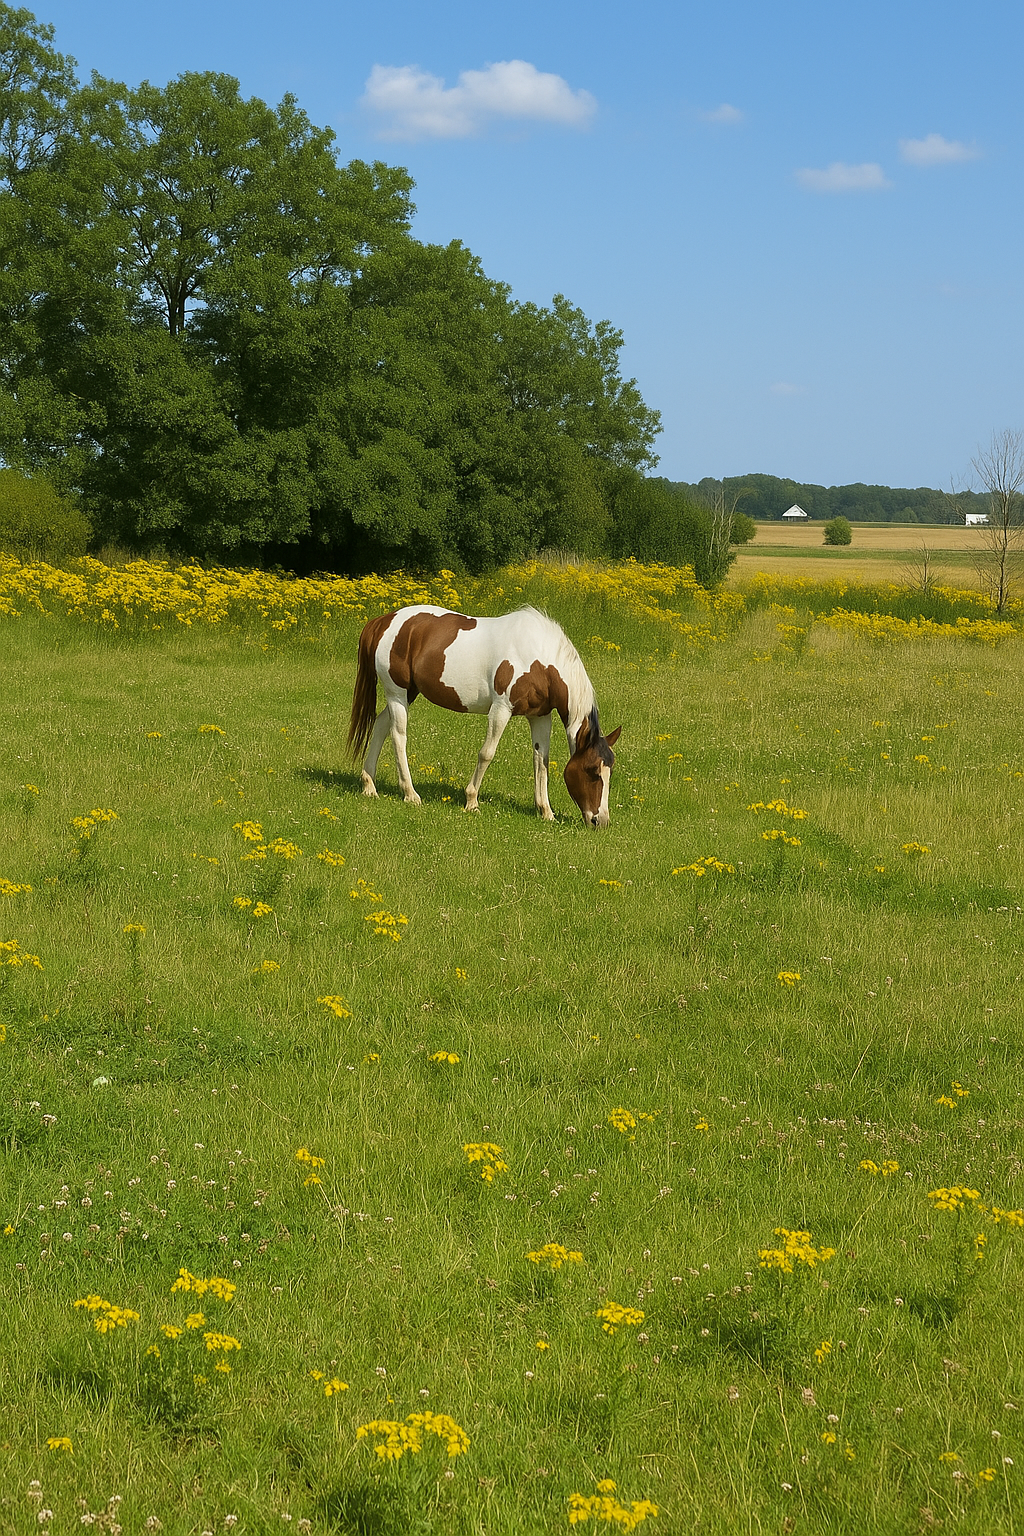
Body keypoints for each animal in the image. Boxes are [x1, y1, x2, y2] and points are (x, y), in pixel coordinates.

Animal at [347, 605, 621, 827]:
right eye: (592, 770)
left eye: (610, 770)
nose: (600, 821)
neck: (541, 661)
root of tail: (385, 621)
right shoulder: (501, 709)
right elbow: (487, 753)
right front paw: (471, 801)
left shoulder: (540, 716)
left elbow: (541, 761)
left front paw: (546, 812)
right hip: (397, 693)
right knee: (398, 736)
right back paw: (410, 793)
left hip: (408, 693)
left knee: (380, 725)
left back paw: (369, 786)